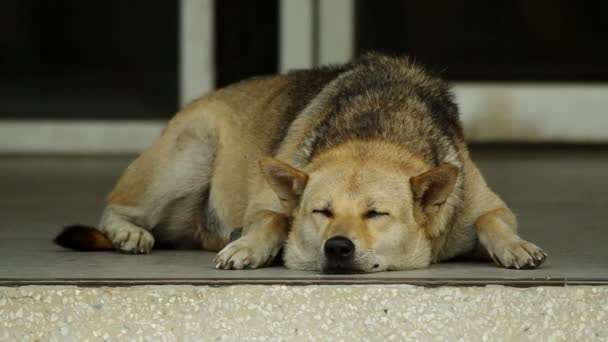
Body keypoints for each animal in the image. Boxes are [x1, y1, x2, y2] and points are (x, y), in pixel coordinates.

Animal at [54, 52, 548, 272]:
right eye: (321, 212)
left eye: (377, 214)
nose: (338, 248)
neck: (376, 133)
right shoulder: (265, 204)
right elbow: (272, 218)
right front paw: (250, 246)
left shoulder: (487, 204)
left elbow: (491, 220)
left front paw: (515, 245)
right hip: (192, 151)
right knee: (116, 207)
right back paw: (130, 233)